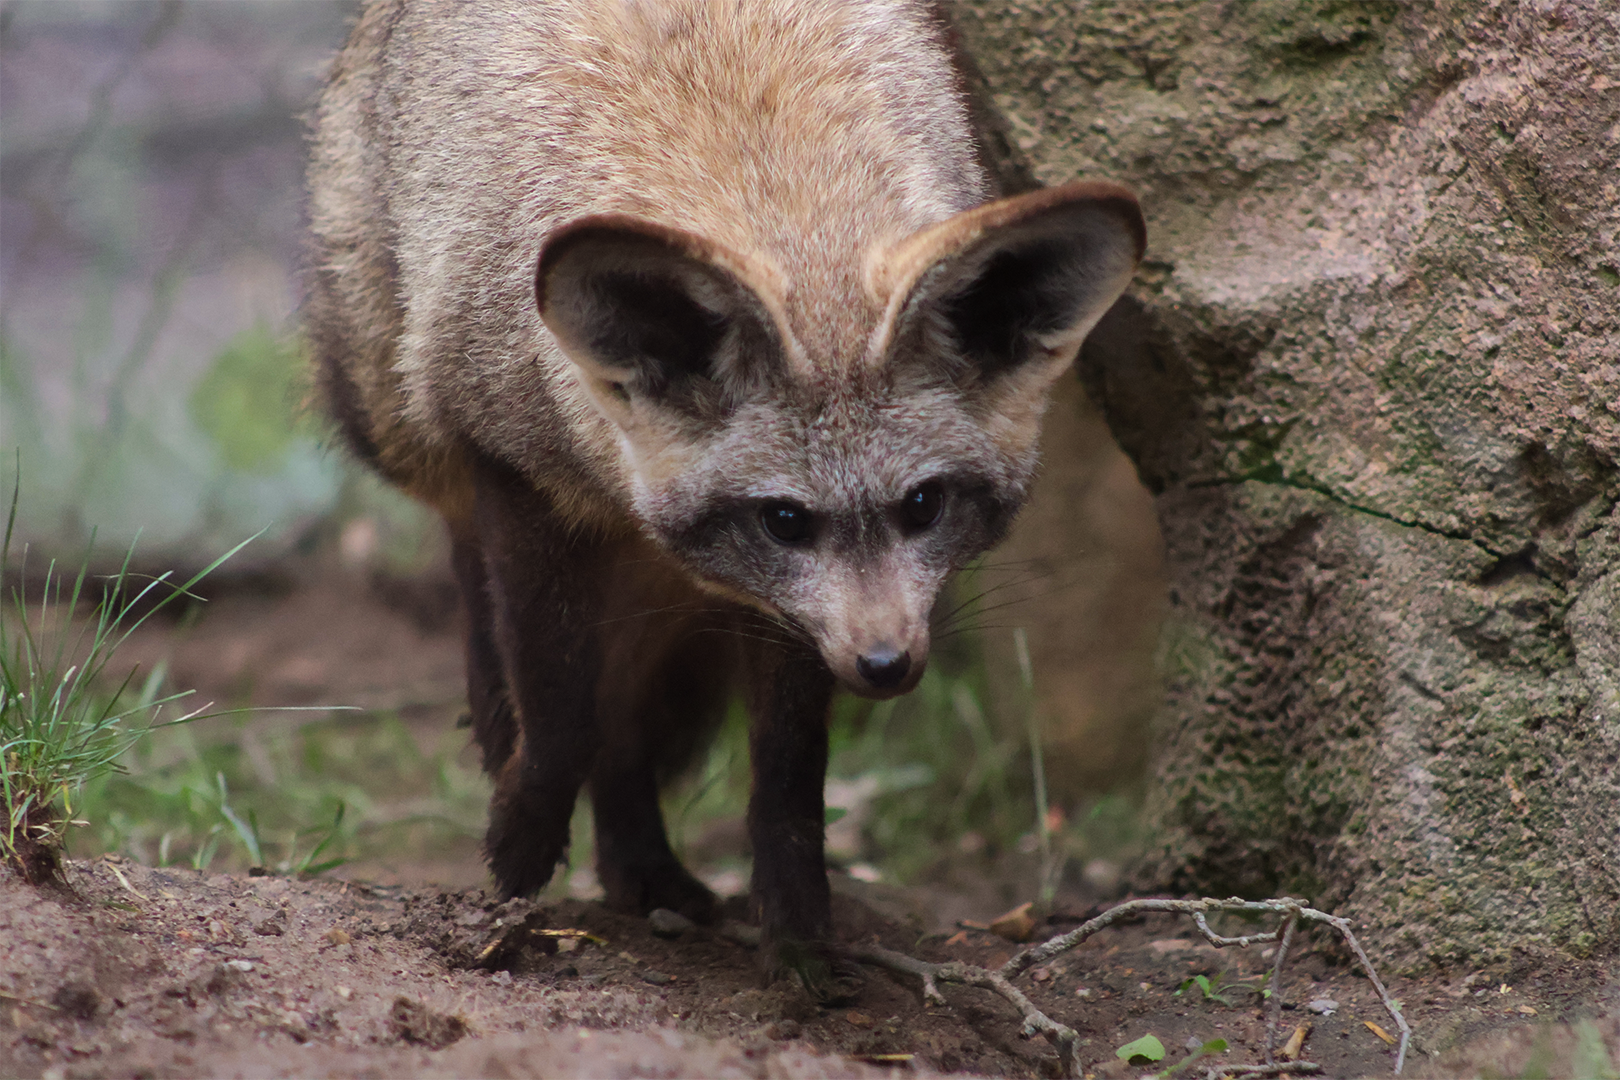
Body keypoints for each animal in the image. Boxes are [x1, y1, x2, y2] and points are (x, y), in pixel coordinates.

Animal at [306, 0, 1140, 1003]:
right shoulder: (518, 471)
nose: (887, 665)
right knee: (491, 603)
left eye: (925, 505)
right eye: (785, 519)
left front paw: (799, 937)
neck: (760, 162)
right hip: (407, 418)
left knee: (628, 722)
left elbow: (785, 775)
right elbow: (560, 714)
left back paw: (644, 872)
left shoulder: (784, 616)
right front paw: (517, 850)